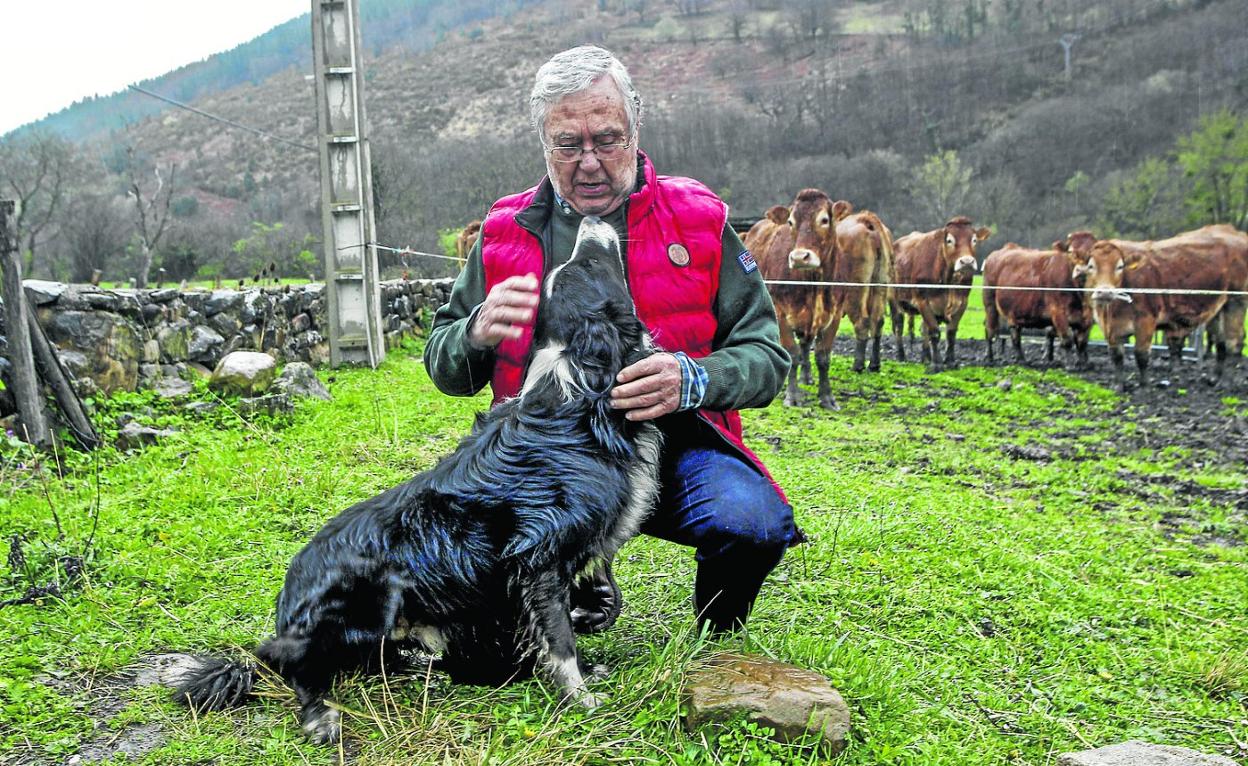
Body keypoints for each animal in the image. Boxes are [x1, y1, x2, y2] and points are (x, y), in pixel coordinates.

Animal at [177, 219, 668, 748]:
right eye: (591, 263)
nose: (593, 221)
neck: (580, 386)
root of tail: (286, 604)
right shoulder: (538, 558)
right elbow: (558, 639)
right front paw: (578, 698)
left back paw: (411, 664)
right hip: (372, 596)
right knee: (298, 664)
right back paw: (321, 715)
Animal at [743, 189, 853, 411]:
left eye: (824, 220)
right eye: (791, 222)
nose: (800, 257)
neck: (813, 285)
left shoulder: (835, 315)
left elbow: (823, 356)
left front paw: (827, 397)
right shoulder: (780, 313)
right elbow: (792, 354)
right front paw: (793, 396)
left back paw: (807, 377)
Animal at [833, 213, 893, 374]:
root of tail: (865, 218)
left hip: (854, 291)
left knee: (862, 322)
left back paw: (858, 365)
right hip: (881, 284)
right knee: (878, 321)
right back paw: (874, 364)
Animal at [893, 215, 988, 371]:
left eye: (974, 240)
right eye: (949, 240)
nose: (967, 262)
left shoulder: (962, 303)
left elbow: (950, 333)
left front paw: (950, 361)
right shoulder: (922, 301)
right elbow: (934, 331)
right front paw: (936, 363)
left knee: (923, 329)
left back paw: (925, 357)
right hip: (894, 299)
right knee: (898, 326)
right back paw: (901, 357)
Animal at [1083, 224, 1248, 386]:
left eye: (1120, 266)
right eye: (1091, 266)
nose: (1105, 293)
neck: (1111, 312)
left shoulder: (1146, 321)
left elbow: (1141, 354)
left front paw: (1144, 386)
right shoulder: (1110, 329)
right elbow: (1116, 355)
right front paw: (1118, 385)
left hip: (1236, 301)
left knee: (1233, 342)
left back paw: (1226, 382)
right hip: (1218, 309)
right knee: (1221, 342)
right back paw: (1215, 378)